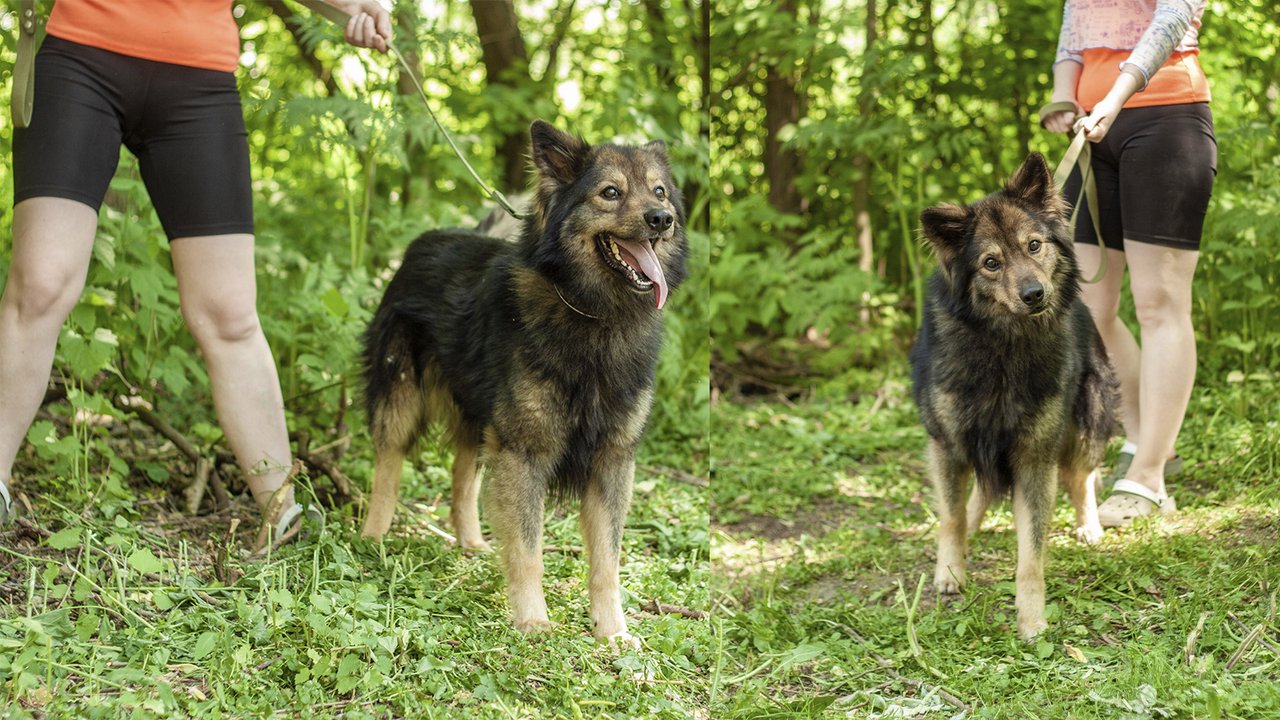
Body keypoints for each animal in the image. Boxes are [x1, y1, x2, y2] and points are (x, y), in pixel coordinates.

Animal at [360, 119, 691, 645]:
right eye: (610, 193)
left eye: (659, 191)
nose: (662, 219)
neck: (595, 313)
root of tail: (426, 241)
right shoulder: (525, 452)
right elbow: (528, 550)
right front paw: (533, 620)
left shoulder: (612, 460)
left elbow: (607, 561)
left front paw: (612, 632)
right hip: (401, 399)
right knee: (388, 465)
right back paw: (373, 536)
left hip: (480, 416)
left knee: (462, 475)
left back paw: (472, 543)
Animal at [911, 154, 1121, 635]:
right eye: (991, 262)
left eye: (1034, 246)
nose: (1034, 294)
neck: (1003, 344)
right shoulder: (948, 442)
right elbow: (951, 515)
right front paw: (949, 571)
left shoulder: (1034, 456)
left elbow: (1031, 550)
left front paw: (1032, 618)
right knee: (975, 495)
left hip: (1089, 419)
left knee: (1080, 478)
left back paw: (1089, 525)